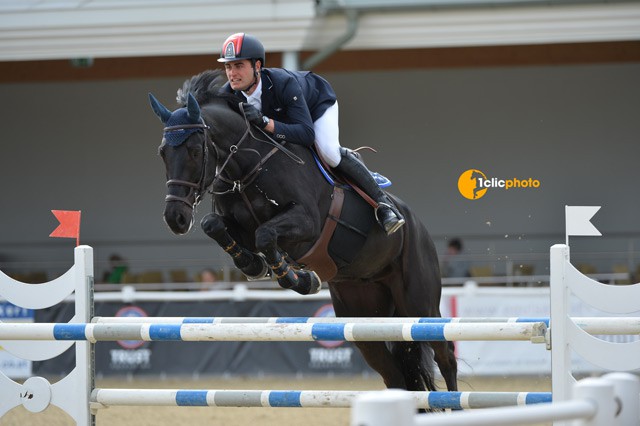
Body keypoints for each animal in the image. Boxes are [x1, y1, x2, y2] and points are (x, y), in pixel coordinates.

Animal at [149, 68, 460, 394]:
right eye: (162, 153)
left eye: (195, 151)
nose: (175, 218)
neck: (248, 166)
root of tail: (416, 223)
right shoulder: (239, 226)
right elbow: (215, 225)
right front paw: (254, 264)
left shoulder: (307, 223)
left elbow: (266, 235)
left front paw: (296, 278)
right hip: (363, 311)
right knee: (396, 375)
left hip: (419, 300)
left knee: (445, 354)